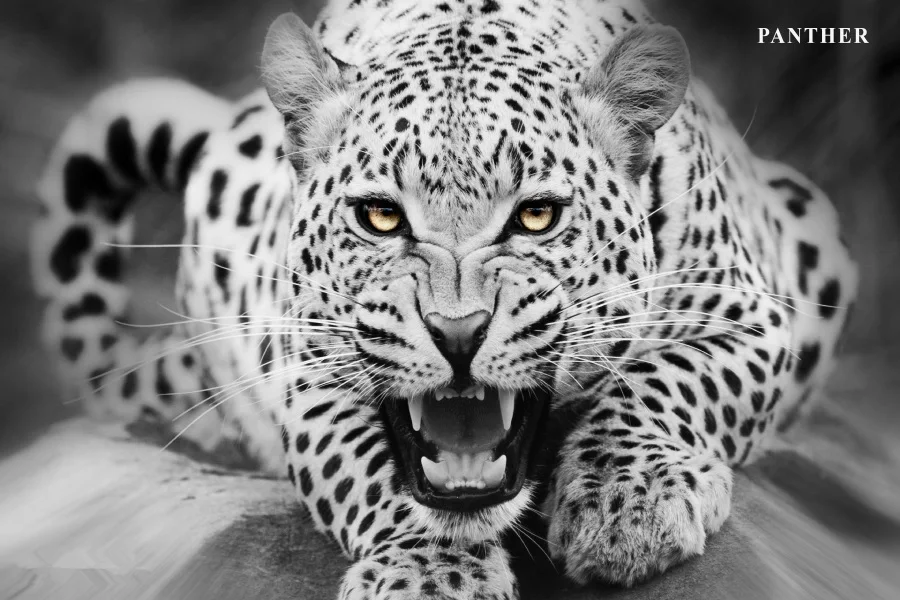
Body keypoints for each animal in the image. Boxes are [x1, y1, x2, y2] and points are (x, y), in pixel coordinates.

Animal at [31, 0, 858, 597]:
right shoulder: (310, 371)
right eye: (379, 216)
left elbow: (668, 383)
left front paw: (628, 503)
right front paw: (431, 575)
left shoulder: (751, 317)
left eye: (536, 216)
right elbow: (370, 471)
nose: (458, 334)